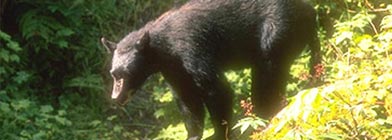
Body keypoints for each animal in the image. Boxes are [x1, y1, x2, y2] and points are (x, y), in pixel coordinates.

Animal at [102, 0, 320, 139]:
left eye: (125, 74)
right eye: (113, 74)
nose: (116, 97)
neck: (163, 48)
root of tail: (310, 12)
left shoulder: (193, 49)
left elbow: (216, 90)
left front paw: (221, 132)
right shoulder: (174, 69)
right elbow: (187, 99)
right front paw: (193, 134)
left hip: (277, 32)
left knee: (267, 75)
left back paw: (263, 114)